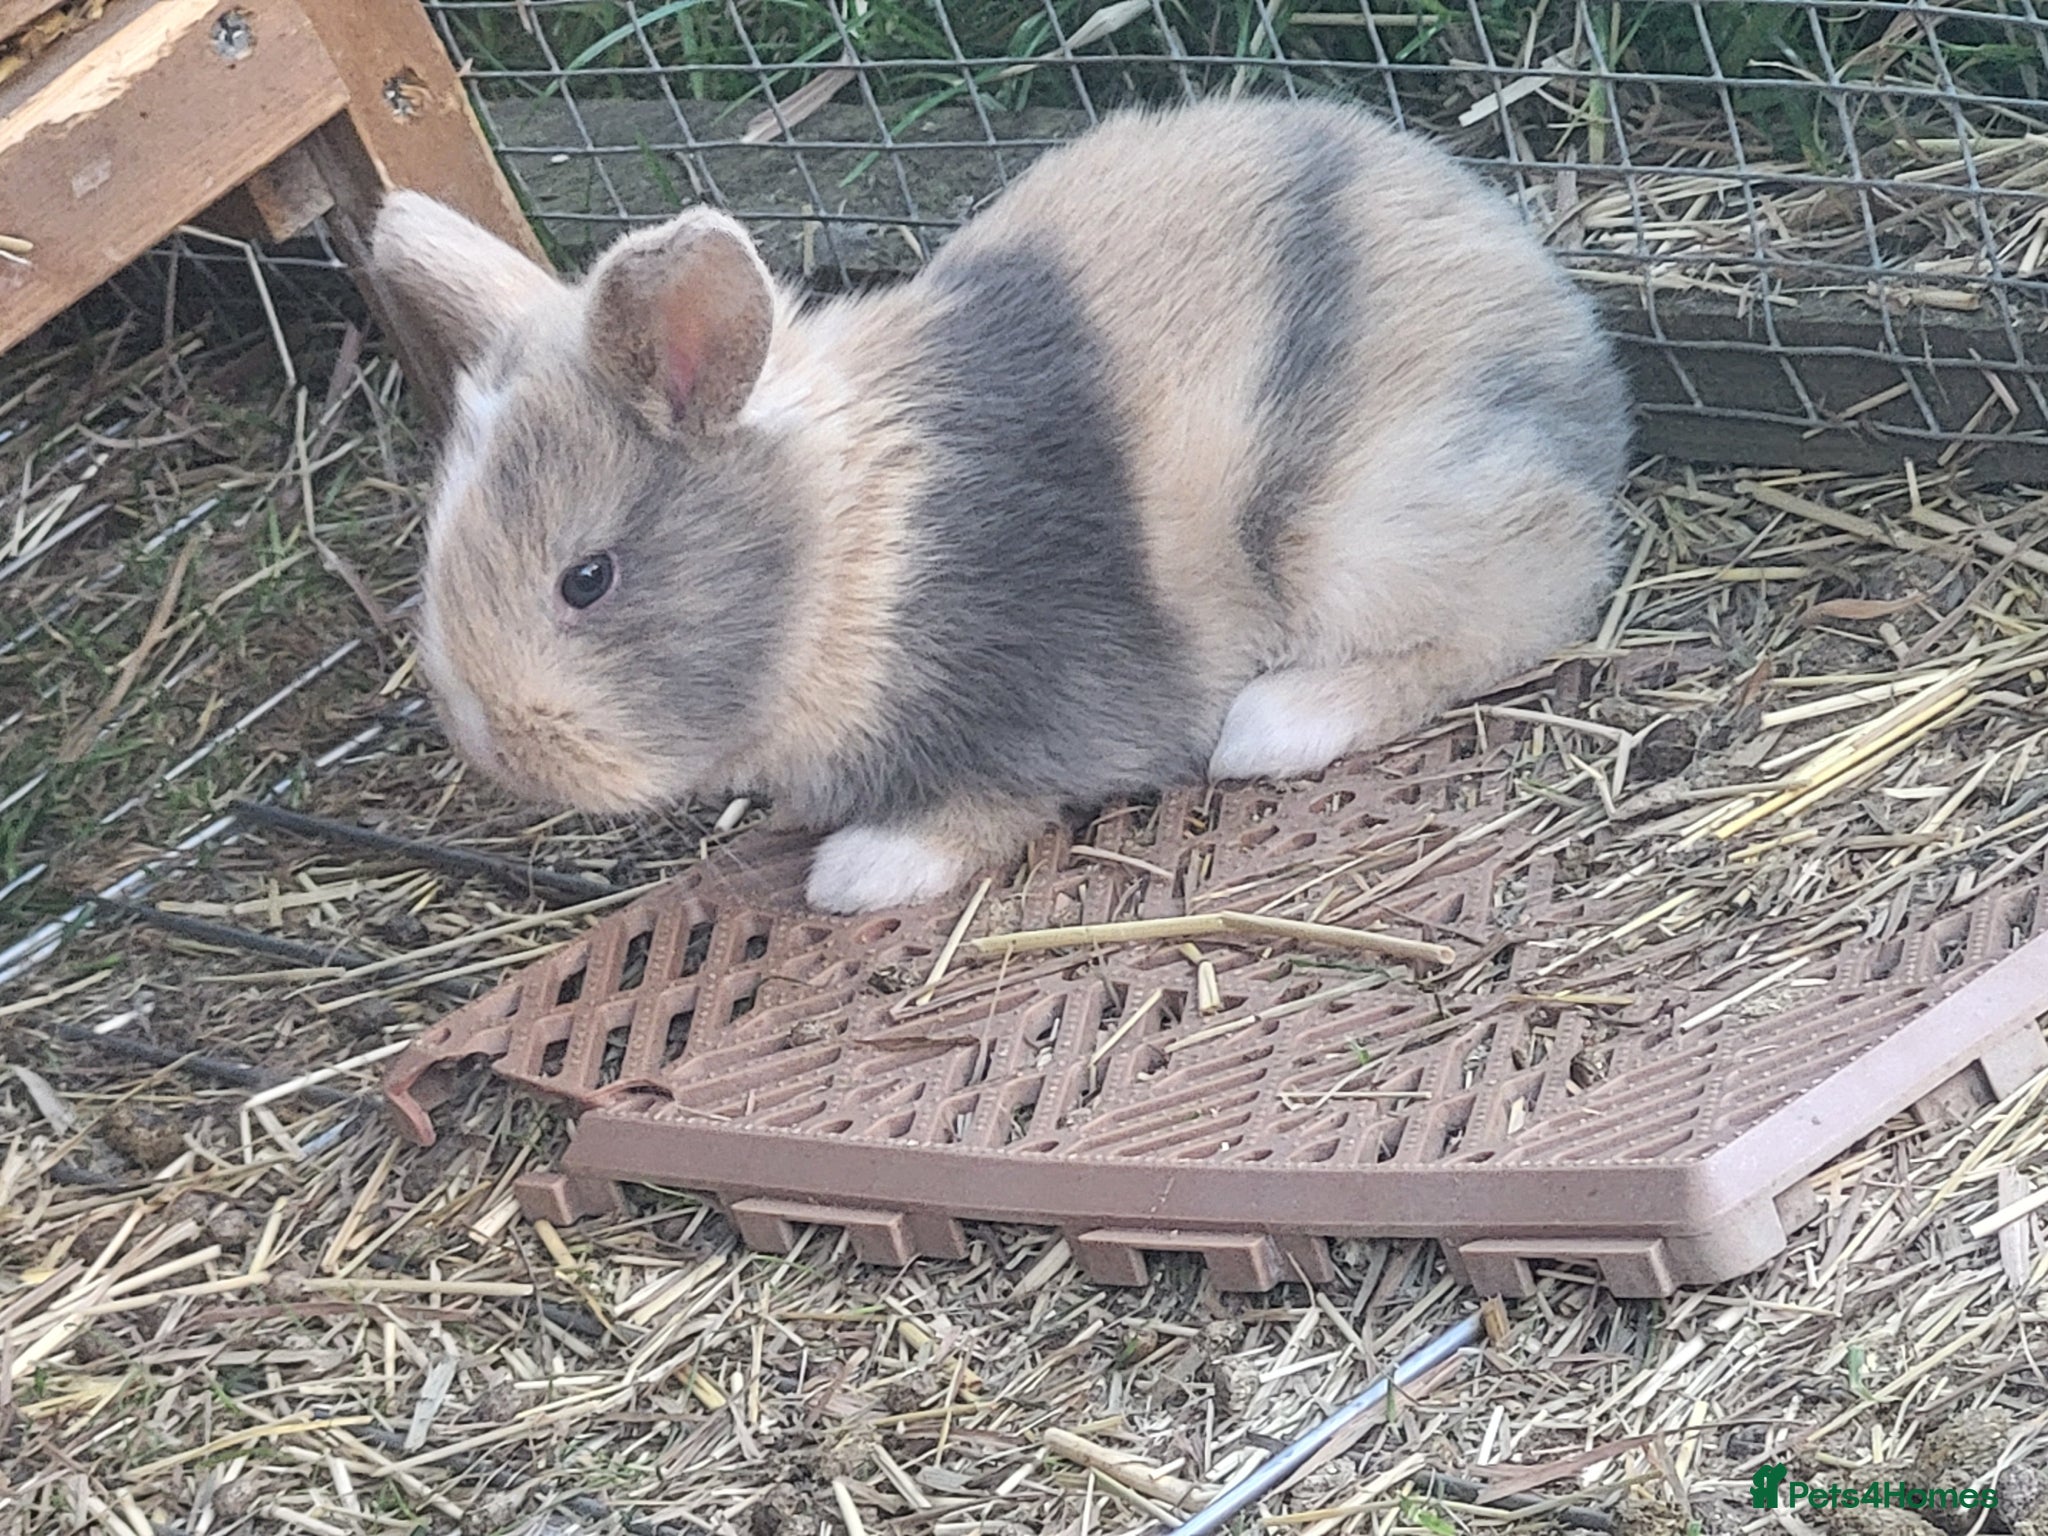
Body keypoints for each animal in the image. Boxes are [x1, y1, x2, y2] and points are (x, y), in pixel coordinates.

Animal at [370, 97, 1631, 914]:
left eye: (586, 579)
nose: (491, 747)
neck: (852, 555)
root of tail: (1576, 359)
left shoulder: (1028, 717)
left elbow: (986, 807)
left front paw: (856, 875)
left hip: (1367, 535)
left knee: (1519, 610)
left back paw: (1274, 726)